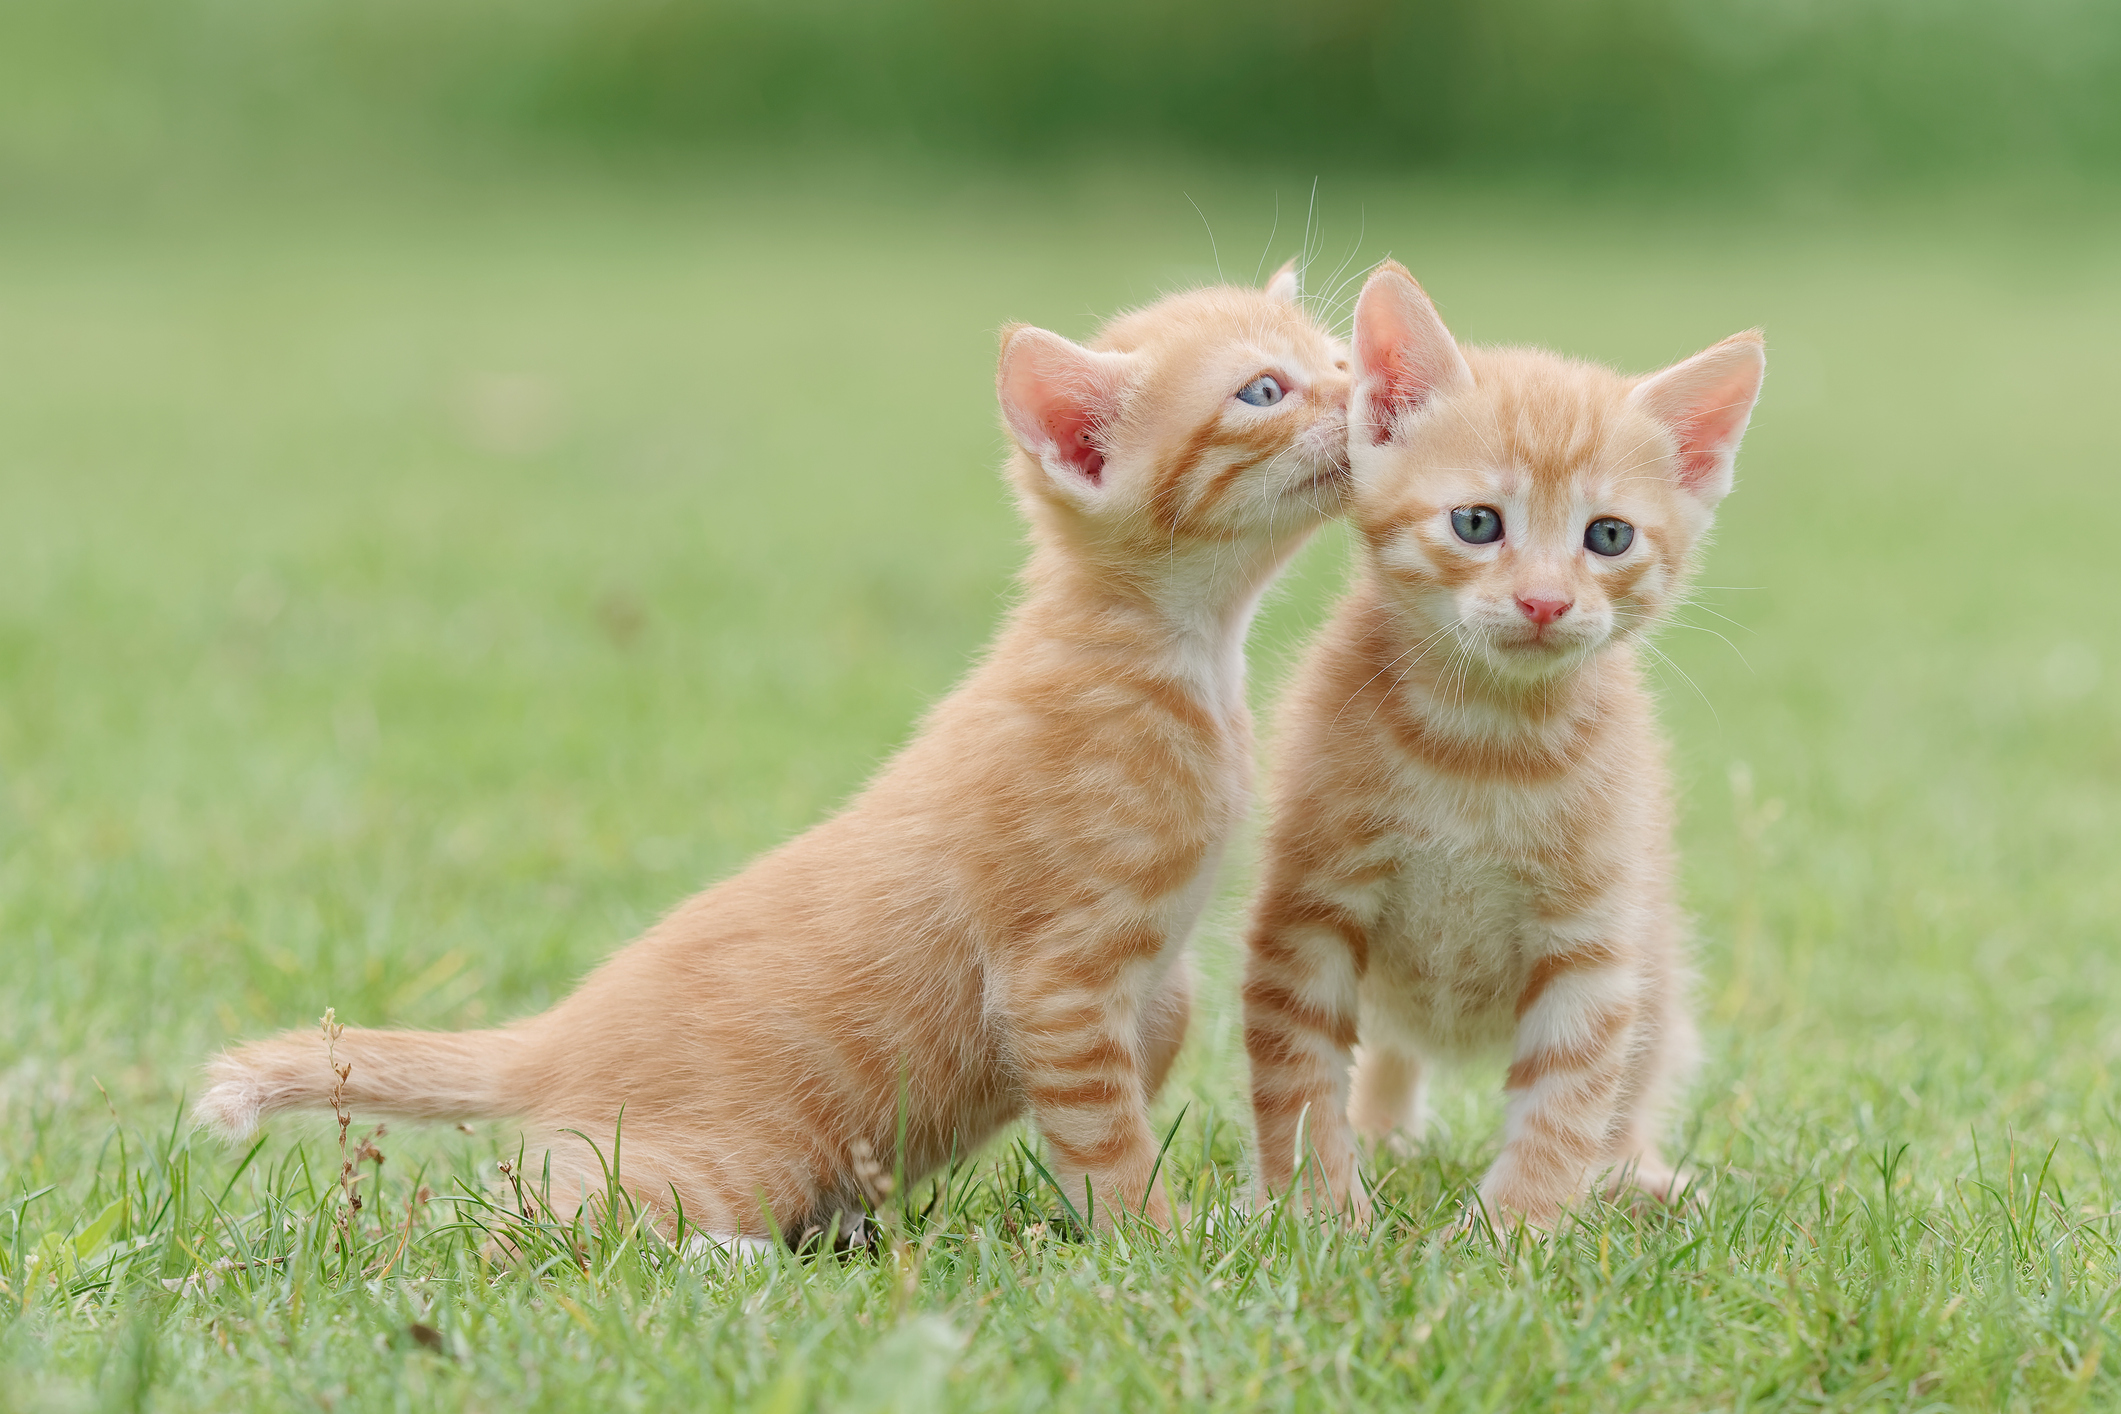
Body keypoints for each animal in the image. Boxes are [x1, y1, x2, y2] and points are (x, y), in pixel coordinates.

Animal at [206, 262, 1348, 1238]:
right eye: (1262, 390)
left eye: (1332, 354)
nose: (1363, 387)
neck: (1184, 655)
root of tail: (556, 1032)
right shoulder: (1056, 980)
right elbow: (1105, 1135)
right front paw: (1154, 1241)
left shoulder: (1149, 983)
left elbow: (1137, 1072)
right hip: (719, 1160)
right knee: (529, 1225)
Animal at [1238, 262, 1756, 1229]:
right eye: (1476, 524)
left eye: (1607, 536)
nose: (1544, 602)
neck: (1480, 746)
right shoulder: (1308, 912)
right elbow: (1299, 1076)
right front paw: (1320, 1213)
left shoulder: (1592, 944)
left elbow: (1564, 1104)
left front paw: (1512, 1233)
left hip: (1655, 962)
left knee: (1635, 1079)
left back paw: (1634, 1176)